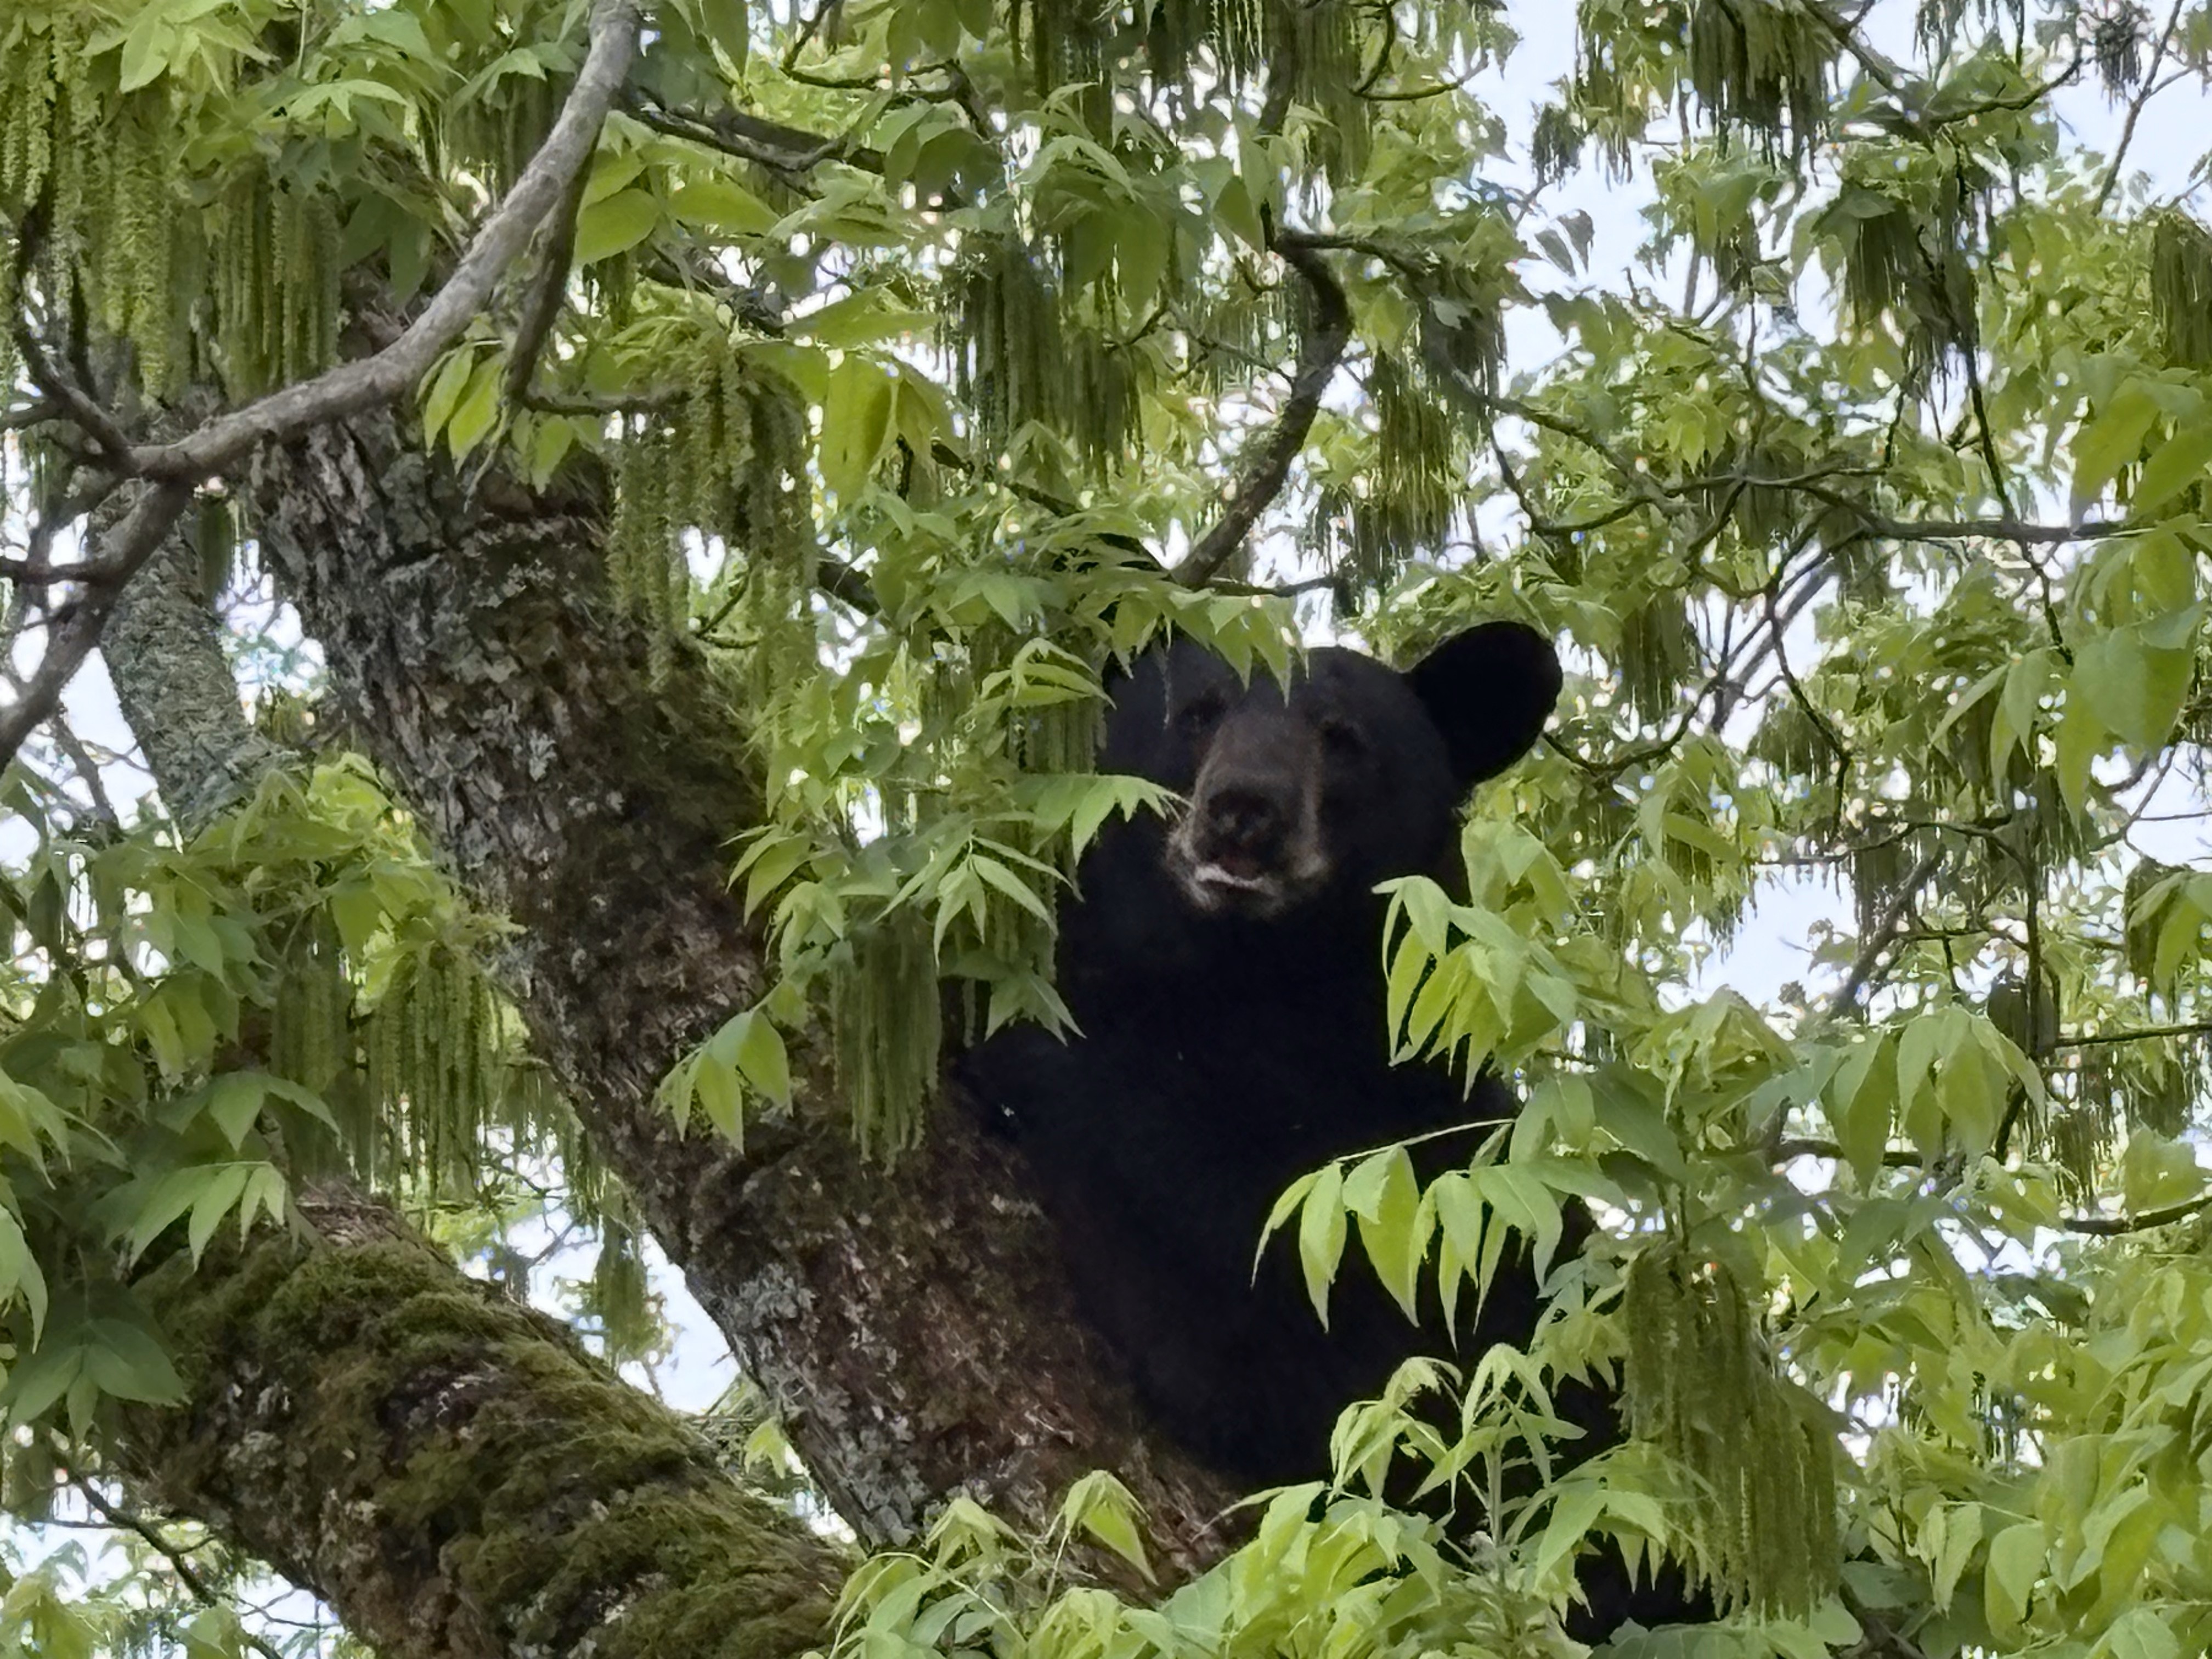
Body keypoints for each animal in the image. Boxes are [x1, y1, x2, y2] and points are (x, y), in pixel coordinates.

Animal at [960, 621, 1707, 1641]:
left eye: (1340, 736)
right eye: (1197, 712)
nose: (1245, 810)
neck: (1255, 978)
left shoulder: (1371, 1188)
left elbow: (1221, 1232)